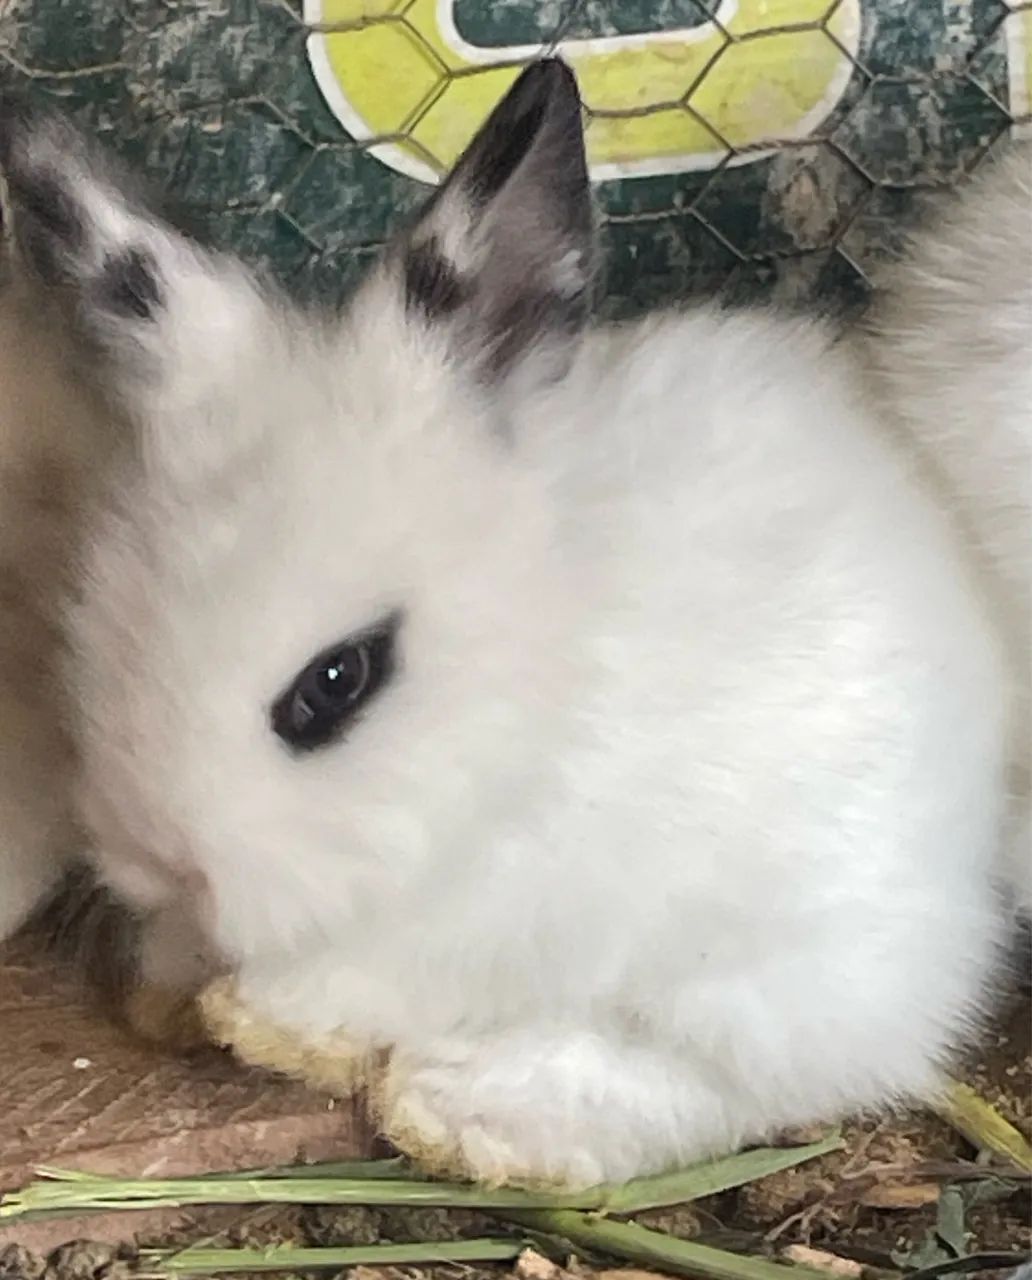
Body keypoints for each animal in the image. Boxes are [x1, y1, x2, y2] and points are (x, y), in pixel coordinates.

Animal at [5, 61, 1022, 1186]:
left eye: (338, 680)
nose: (162, 863)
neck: (542, 691)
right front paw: (176, 983)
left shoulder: (499, 905)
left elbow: (374, 969)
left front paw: (266, 1012)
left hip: (785, 966)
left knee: (725, 1077)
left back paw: (461, 1108)